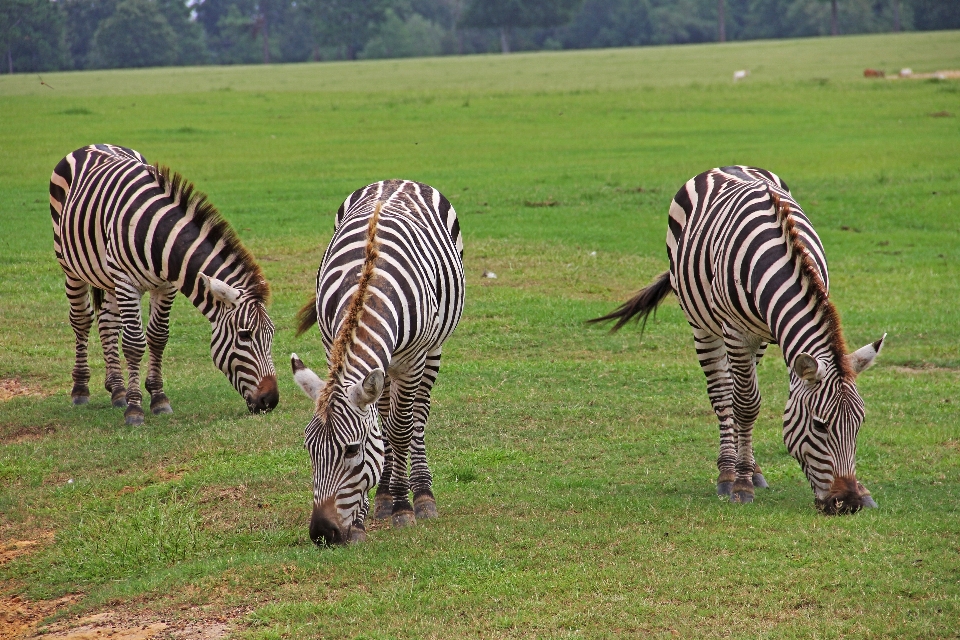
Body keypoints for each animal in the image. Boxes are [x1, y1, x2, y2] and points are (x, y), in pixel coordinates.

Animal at [48, 145, 278, 424]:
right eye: (245, 335)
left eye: (271, 334)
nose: (270, 401)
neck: (159, 237)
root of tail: (95, 145)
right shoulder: (127, 282)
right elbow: (134, 344)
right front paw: (135, 409)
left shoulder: (166, 286)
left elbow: (158, 337)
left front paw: (158, 399)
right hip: (70, 265)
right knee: (82, 319)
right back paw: (81, 389)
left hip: (109, 277)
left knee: (107, 323)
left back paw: (117, 390)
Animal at [290, 179, 464, 544]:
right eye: (309, 448)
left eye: (352, 450)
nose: (322, 534)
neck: (368, 285)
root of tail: (399, 180)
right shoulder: (332, 346)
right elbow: (381, 429)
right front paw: (364, 515)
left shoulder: (411, 361)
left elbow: (399, 431)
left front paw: (402, 508)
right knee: (384, 413)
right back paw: (383, 496)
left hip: (433, 350)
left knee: (418, 417)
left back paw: (421, 495)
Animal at [592, 166, 884, 516]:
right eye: (820, 425)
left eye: (859, 423)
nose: (848, 503)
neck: (779, 264)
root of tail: (725, 167)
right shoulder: (736, 332)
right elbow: (745, 405)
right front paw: (741, 485)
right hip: (704, 326)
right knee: (723, 396)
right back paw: (728, 472)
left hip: (756, 340)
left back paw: (753, 468)